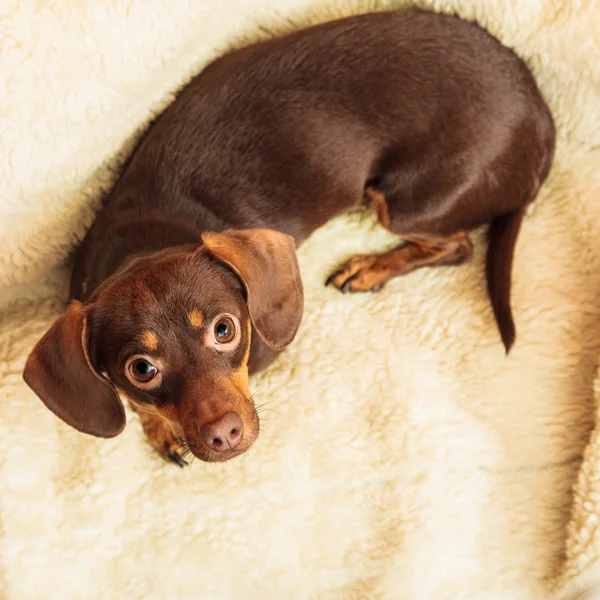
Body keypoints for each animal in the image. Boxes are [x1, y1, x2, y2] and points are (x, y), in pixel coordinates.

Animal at [24, 11, 556, 466]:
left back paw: (369, 268)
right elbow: (136, 406)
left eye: (224, 329)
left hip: (408, 202)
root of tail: (541, 115)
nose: (224, 435)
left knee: (458, 245)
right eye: (141, 368)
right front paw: (157, 426)